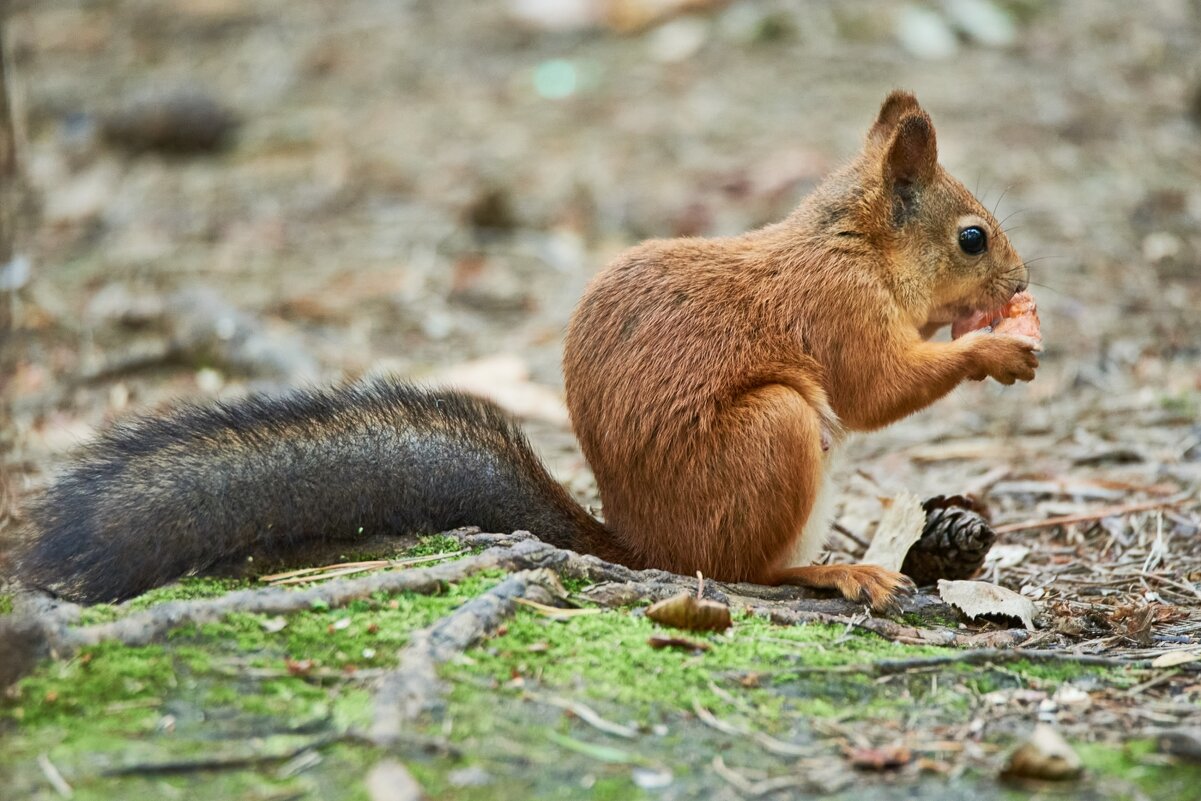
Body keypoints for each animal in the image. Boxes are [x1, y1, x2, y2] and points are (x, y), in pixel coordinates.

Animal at [2, 89, 1032, 614]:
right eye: (971, 238)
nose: (1022, 277)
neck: (851, 243)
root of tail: (640, 541)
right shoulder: (836, 311)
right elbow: (875, 387)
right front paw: (994, 351)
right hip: (772, 437)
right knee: (739, 571)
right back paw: (831, 569)